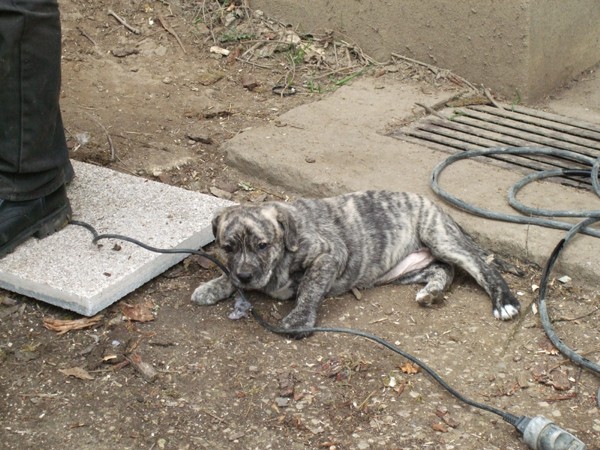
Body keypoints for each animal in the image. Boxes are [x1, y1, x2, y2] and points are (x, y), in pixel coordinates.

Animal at [193, 190, 520, 334]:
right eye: (228, 247)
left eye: (262, 245)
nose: (246, 277)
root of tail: (436, 206)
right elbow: (227, 273)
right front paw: (213, 286)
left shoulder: (329, 254)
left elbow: (310, 287)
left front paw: (299, 318)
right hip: (403, 269)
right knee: (443, 269)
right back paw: (432, 292)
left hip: (439, 237)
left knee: (481, 266)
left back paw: (504, 301)